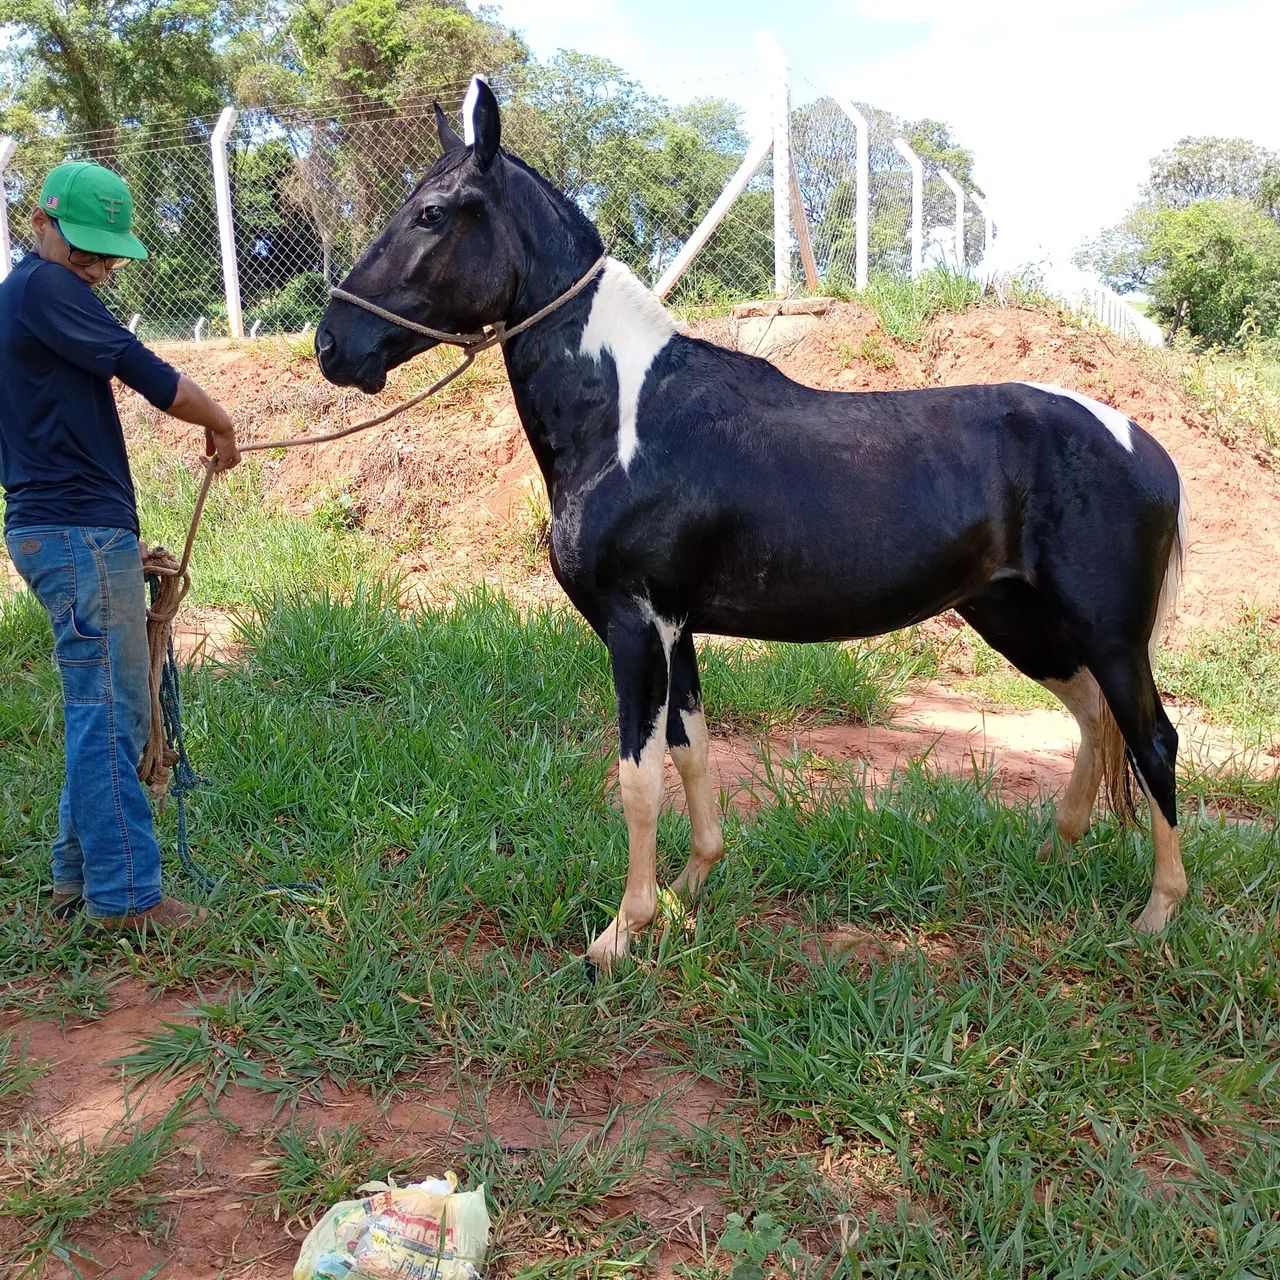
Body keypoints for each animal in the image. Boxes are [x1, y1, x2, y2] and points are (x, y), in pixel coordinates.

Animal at [316, 77, 1189, 969]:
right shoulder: (677, 629)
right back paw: (1056, 851)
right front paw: (687, 893)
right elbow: (692, 750)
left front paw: (619, 934)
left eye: (433, 213)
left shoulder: (636, 625)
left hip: (1107, 632)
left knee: (1152, 738)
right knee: (1093, 716)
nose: (332, 345)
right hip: (1014, 615)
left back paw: (1158, 913)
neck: (626, 417)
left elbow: (638, 777)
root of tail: (1145, 447)